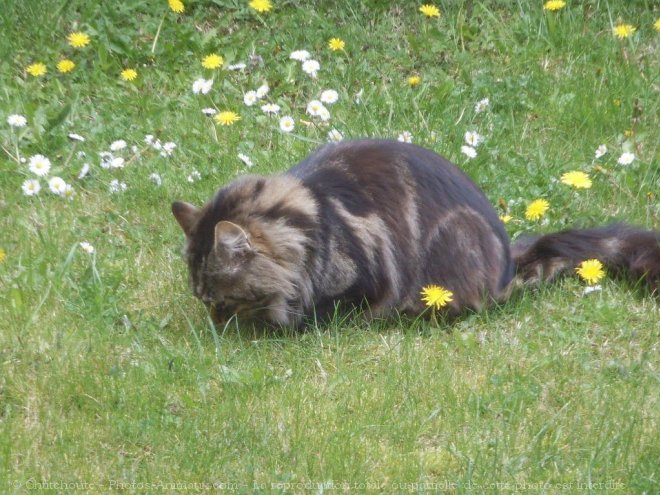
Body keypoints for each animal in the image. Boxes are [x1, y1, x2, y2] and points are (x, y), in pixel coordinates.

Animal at [171, 140, 660, 328]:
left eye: (221, 301)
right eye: (203, 300)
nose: (216, 323)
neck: (311, 220)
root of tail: (506, 262)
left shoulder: (364, 277)